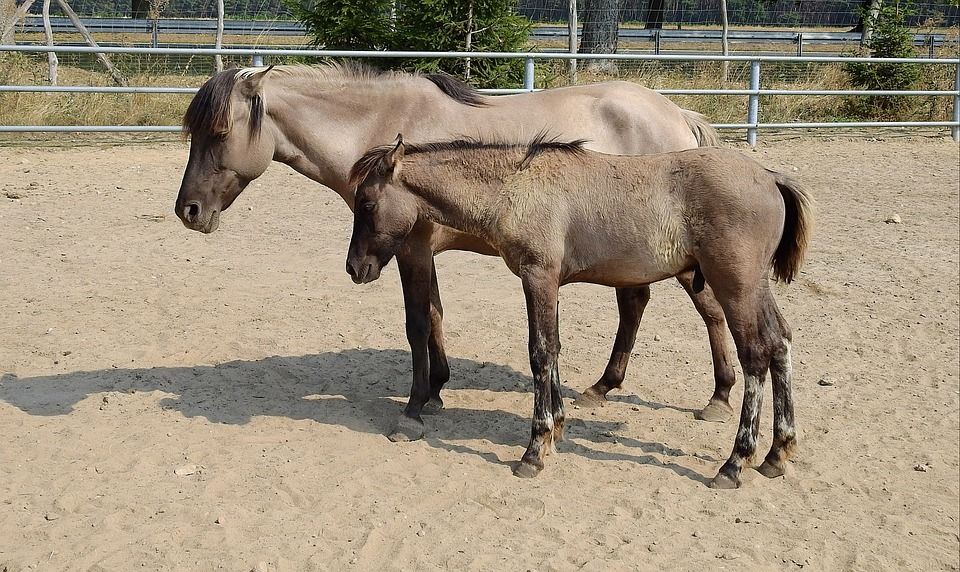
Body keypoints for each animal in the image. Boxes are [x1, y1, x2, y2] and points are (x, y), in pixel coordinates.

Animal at [174, 62, 739, 443]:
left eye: (219, 132)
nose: (188, 210)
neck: (383, 127)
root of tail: (676, 113)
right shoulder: (420, 251)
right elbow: (437, 315)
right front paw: (438, 389)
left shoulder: (412, 247)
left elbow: (417, 323)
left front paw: (414, 407)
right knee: (636, 304)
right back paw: (603, 386)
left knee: (709, 309)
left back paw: (719, 396)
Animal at [345, 134, 813, 488]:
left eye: (366, 203)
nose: (354, 267)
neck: (516, 187)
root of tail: (771, 178)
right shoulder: (549, 283)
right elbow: (553, 349)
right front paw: (558, 427)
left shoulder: (537, 275)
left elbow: (539, 352)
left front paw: (534, 451)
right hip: (754, 287)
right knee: (780, 343)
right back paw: (776, 454)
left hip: (735, 286)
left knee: (755, 353)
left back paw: (734, 463)